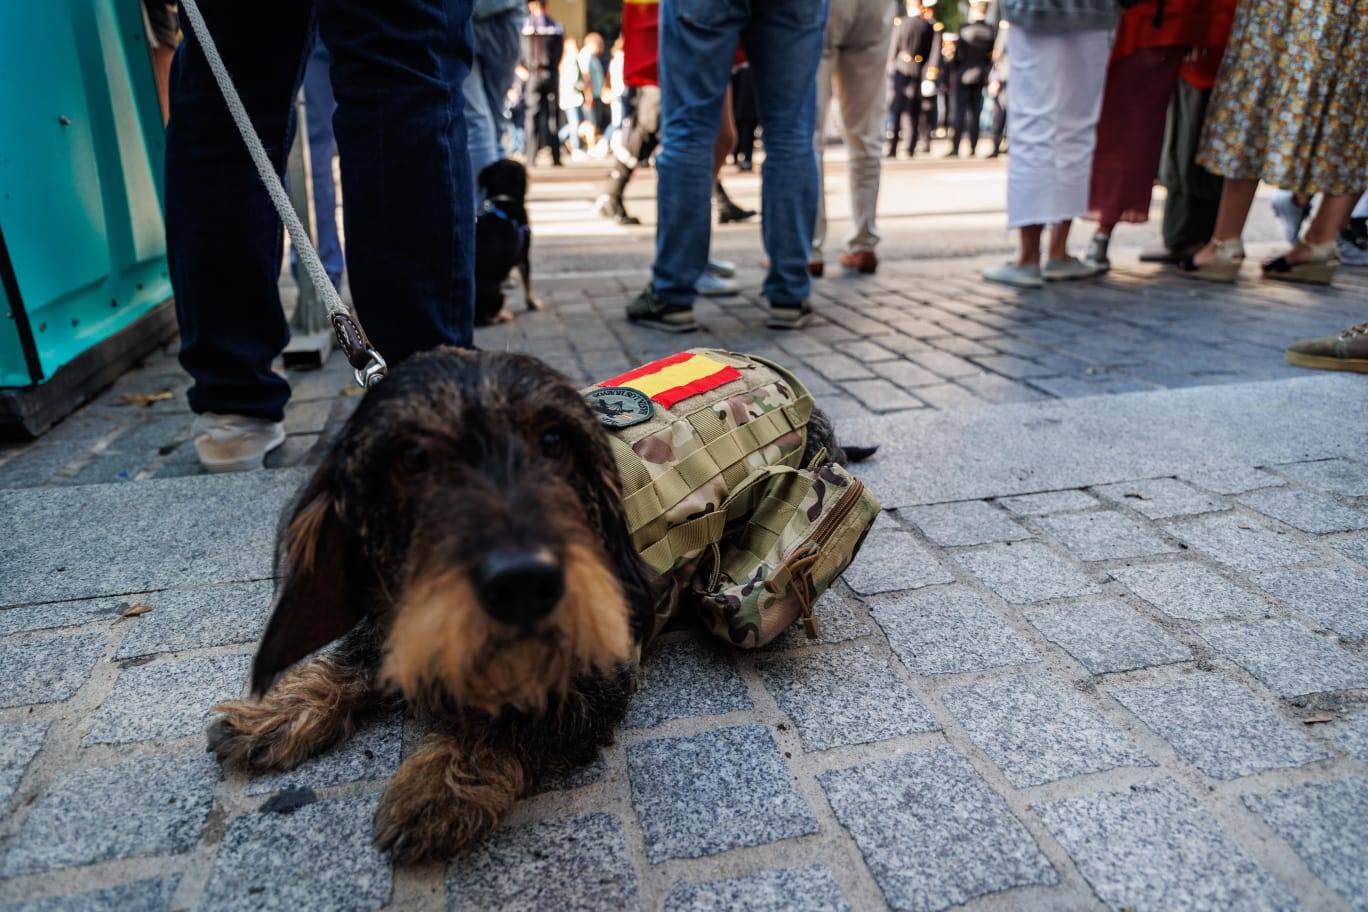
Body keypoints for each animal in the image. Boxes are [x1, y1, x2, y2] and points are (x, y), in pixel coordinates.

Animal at [476, 160, 538, 324]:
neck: (503, 200)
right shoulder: (524, 256)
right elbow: (528, 284)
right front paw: (533, 304)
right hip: (497, 293)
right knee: (487, 318)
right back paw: (504, 315)